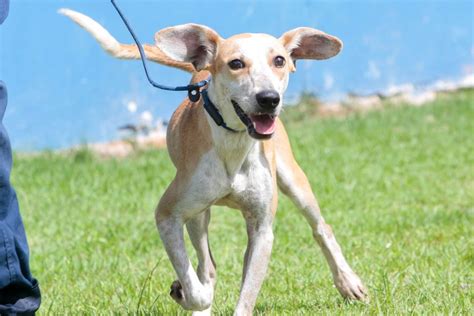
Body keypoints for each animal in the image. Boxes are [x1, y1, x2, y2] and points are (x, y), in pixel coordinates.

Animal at [61, 8, 368, 314]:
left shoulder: (262, 229)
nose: (269, 99)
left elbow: (247, 294)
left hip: (293, 179)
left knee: (320, 227)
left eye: (279, 60)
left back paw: (347, 281)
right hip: (198, 213)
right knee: (205, 263)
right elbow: (196, 281)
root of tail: (201, 71)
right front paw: (189, 294)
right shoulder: (168, 215)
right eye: (236, 63)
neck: (233, 143)